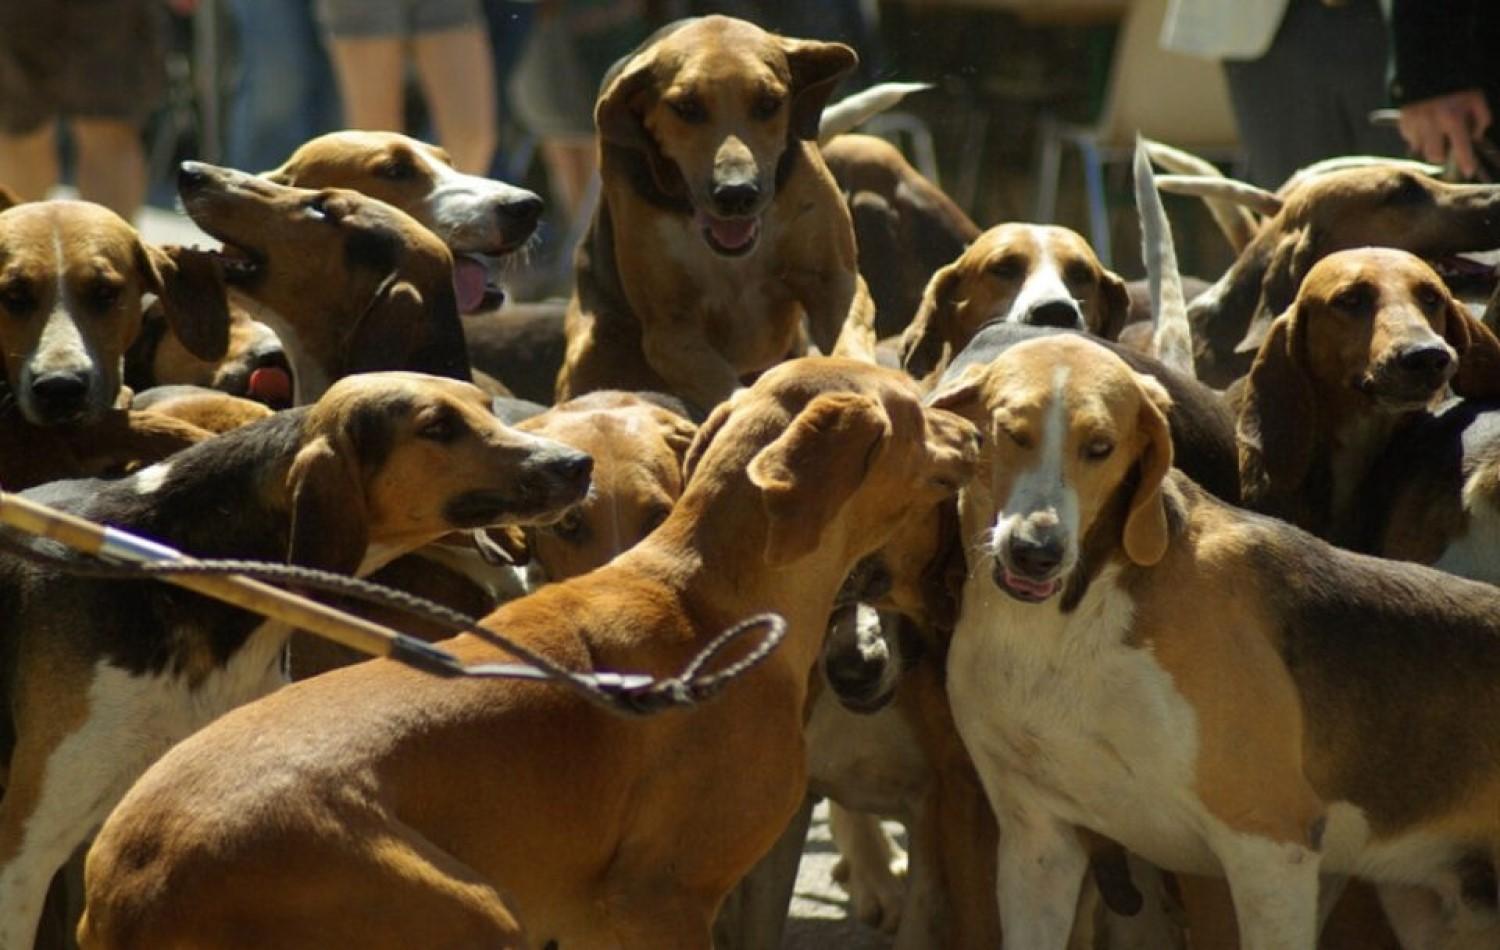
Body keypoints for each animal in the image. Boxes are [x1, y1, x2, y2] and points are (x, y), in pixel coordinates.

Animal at [79, 355, 972, 948]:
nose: (969, 422)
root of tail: (129, 885)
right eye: (917, 408)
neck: (708, 597)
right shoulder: (659, 902)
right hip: (474, 913)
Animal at [558, 15, 876, 411]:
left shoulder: (834, 281)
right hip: (593, 346)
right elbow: (720, 382)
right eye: (687, 107)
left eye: (769, 103)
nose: (736, 193)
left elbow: (849, 333)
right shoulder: (670, 331)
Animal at [936, 331, 1500, 948]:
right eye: (1011, 433)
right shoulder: (1038, 841)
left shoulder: (1270, 844)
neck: (1065, 624)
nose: (1036, 553)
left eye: (1100, 447)